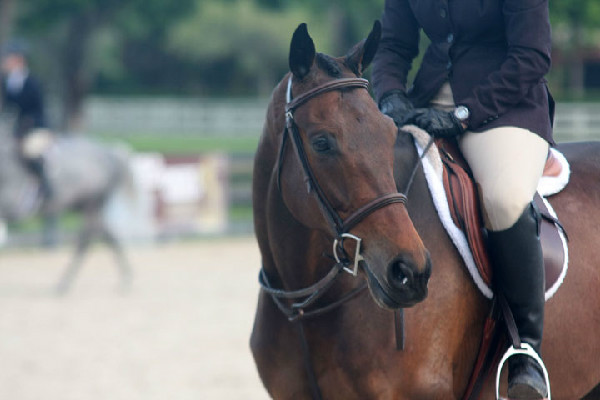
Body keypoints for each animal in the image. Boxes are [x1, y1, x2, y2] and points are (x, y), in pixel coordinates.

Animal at [0, 114, 132, 292]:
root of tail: (108, 152)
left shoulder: (11, 207)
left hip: (92, 204)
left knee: (87, 239)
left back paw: (64, 284)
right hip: (87, 206)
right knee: (107, 234)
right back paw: (125, 278)